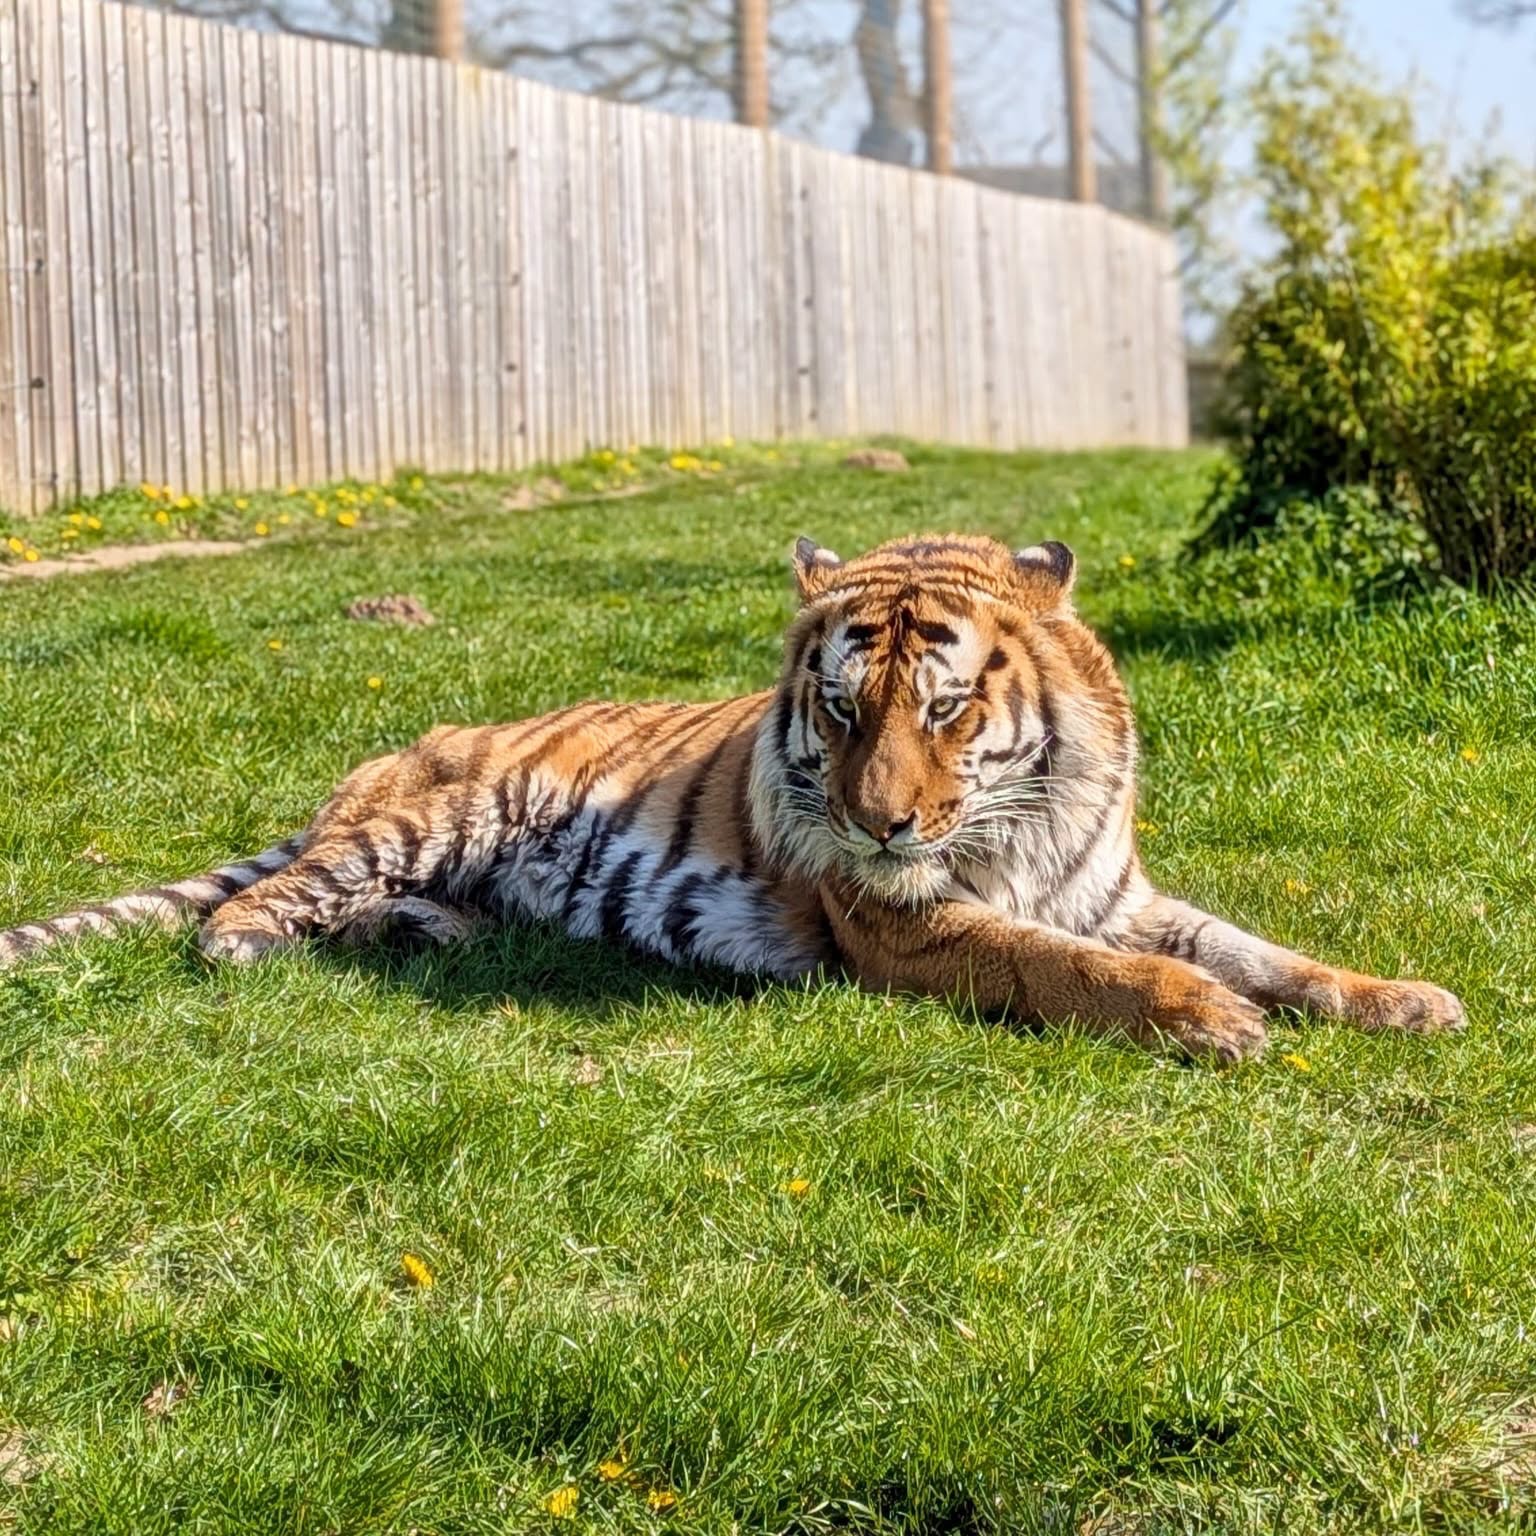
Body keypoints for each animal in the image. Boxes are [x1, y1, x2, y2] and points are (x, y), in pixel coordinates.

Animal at [0, 532, 1464, 1062]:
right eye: (843, 709)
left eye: (945, 710)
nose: (879, 823)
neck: (1026, 816)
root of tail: (386, 758)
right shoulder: (905, 927)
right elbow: (1066, 968)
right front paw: (1210, 1021)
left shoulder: (1118, 894)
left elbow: (1264, 949)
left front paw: (1406, 1002)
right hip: (427, 818)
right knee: (257, 912)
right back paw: (269, 947)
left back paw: (450, 936)